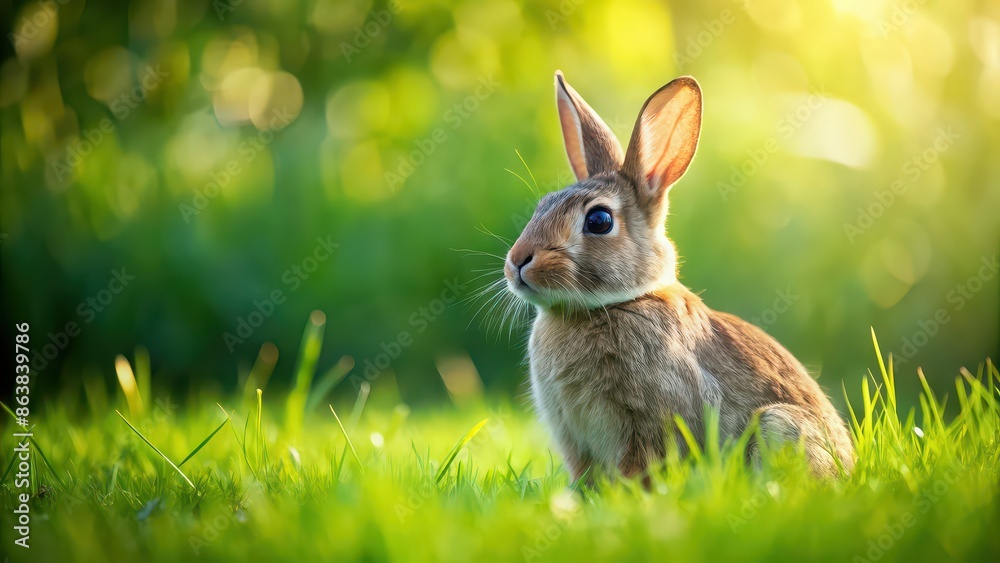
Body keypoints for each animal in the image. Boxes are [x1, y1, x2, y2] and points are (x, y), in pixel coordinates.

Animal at [504, 71, 856, 484]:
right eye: (542, 205)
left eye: (599, 221)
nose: (517, 261)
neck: (619, 303)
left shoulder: (652, 422)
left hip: (778, 425)